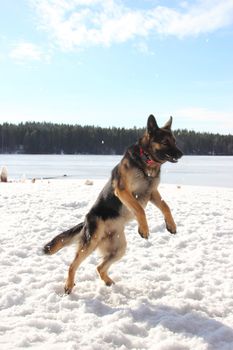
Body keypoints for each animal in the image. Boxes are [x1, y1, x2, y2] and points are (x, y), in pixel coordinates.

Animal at [43, 115, 182, 292]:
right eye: (165, 142)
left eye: (174, 141)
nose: (181, 154)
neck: (146, 161)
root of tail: (85, 221)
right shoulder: (123, 191)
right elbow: (140, 209)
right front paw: (144, 229)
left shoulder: (152, 193)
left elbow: (165, 206)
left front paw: (171, 225)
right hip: (91, 243)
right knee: (73, 265)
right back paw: (68, 285)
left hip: (119, 249)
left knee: (99, 267)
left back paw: (109, 282)